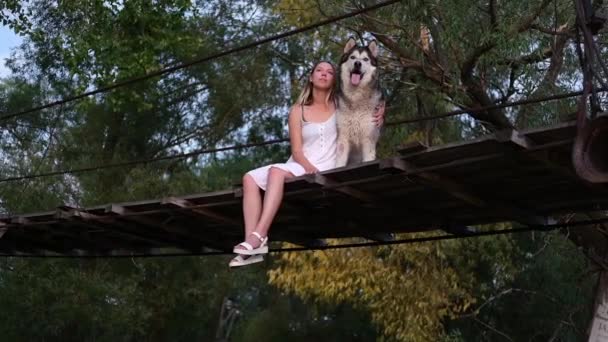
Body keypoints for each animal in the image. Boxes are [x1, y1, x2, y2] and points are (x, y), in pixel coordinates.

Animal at [334, 36, 382, 168]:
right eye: (353, 57)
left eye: (365, 59)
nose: (357, 63)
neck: (356, 98)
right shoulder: (343, 139)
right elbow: (339, 164)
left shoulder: (368, 139)